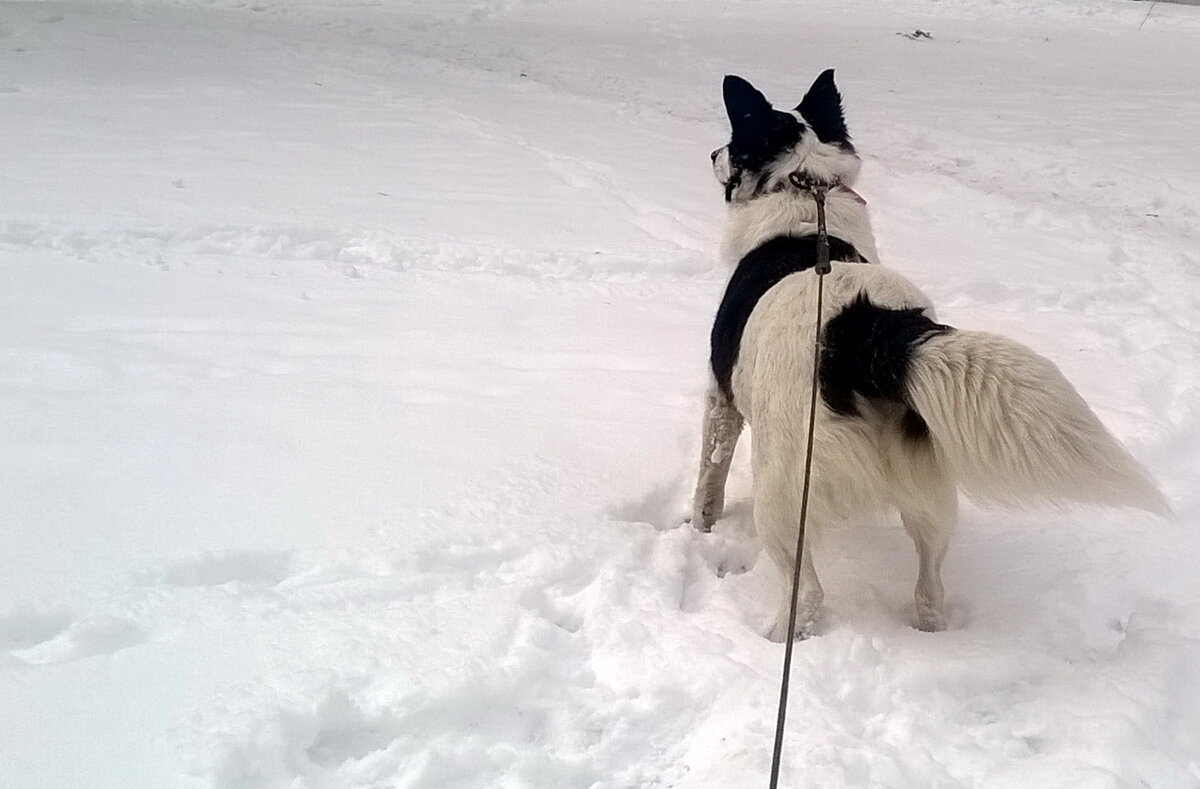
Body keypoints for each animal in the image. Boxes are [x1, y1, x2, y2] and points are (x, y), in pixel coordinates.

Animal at [691, 69, 1166, 637]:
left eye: (733, 140)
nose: (710, 152)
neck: (807, 194)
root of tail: (871, 335)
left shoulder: (721, 398)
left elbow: (709, 475)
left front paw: (698, 528)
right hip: (927, 487)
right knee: (930, 588)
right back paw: (931, 632)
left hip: (784, 490)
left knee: (807, 594)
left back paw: (780, 637)